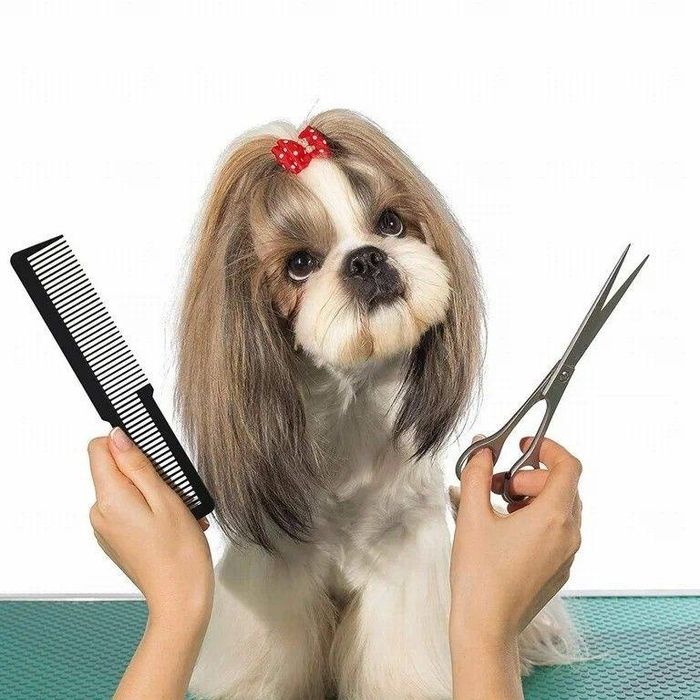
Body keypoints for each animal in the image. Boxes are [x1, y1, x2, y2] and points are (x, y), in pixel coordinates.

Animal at [176, 109, 577, 699]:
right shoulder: (275, 570)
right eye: (300, 264)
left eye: (390, 223)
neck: (351, 406)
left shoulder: (408, 555)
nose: (366, 257)